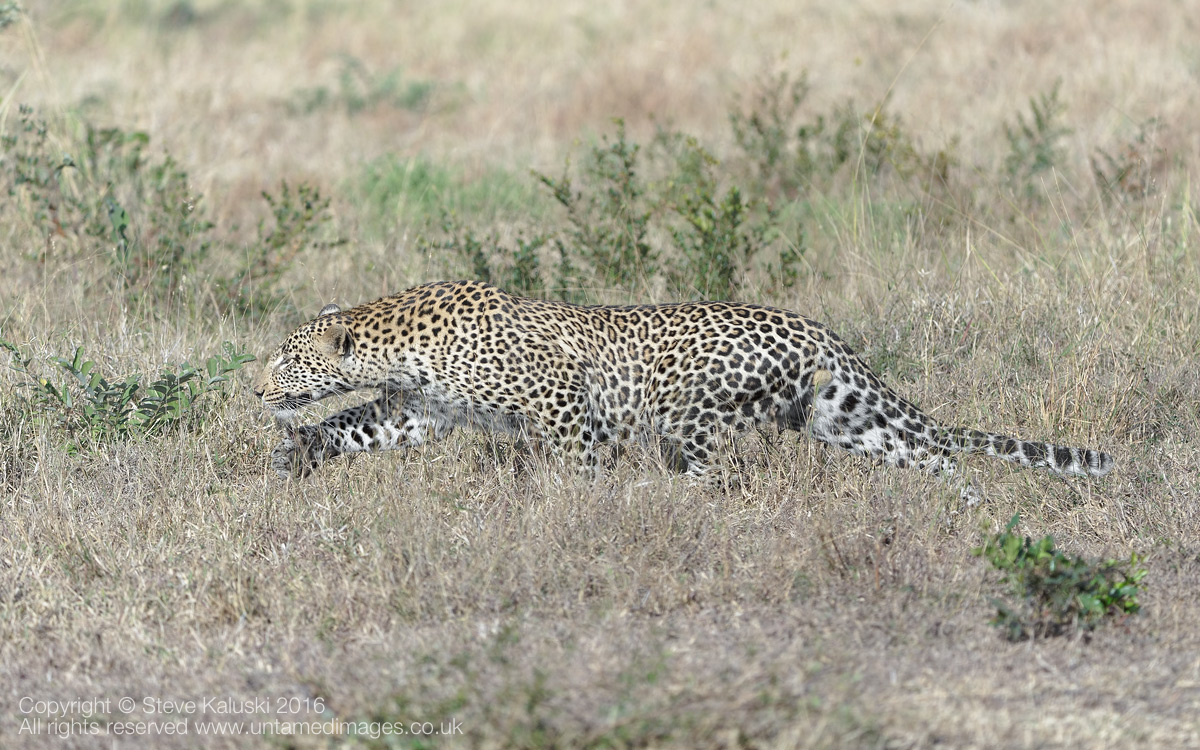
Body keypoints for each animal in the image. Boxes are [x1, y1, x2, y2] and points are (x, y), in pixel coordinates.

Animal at [253, 280, 1114, 496]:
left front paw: (582, 515)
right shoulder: (422, 412)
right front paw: (297, 452)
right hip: (837, 417)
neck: (396, 345)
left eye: (284, 362)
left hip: (692, 415)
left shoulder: (564, 402)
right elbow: (354, 426)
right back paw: (961, 508)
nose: (257, 393)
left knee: (718, 481)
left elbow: (580, 467)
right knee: (931, 453)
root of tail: (814, 327)